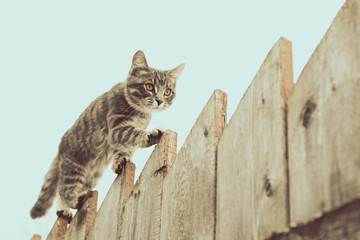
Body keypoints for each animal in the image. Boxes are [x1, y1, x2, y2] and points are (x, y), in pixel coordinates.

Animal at [29, 50, 184, 221]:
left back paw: (63, 210)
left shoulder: (122, 139)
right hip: (75, 167)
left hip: (92, 176)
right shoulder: (117, 128)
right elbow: (133, 134)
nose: (159, 100)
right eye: (149, 86)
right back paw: (73, 202)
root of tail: (60, 148)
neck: (140, 112)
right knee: (63, 189)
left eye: (167, 91)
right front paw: (152, 135)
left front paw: (120, 161)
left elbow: (125, 149)